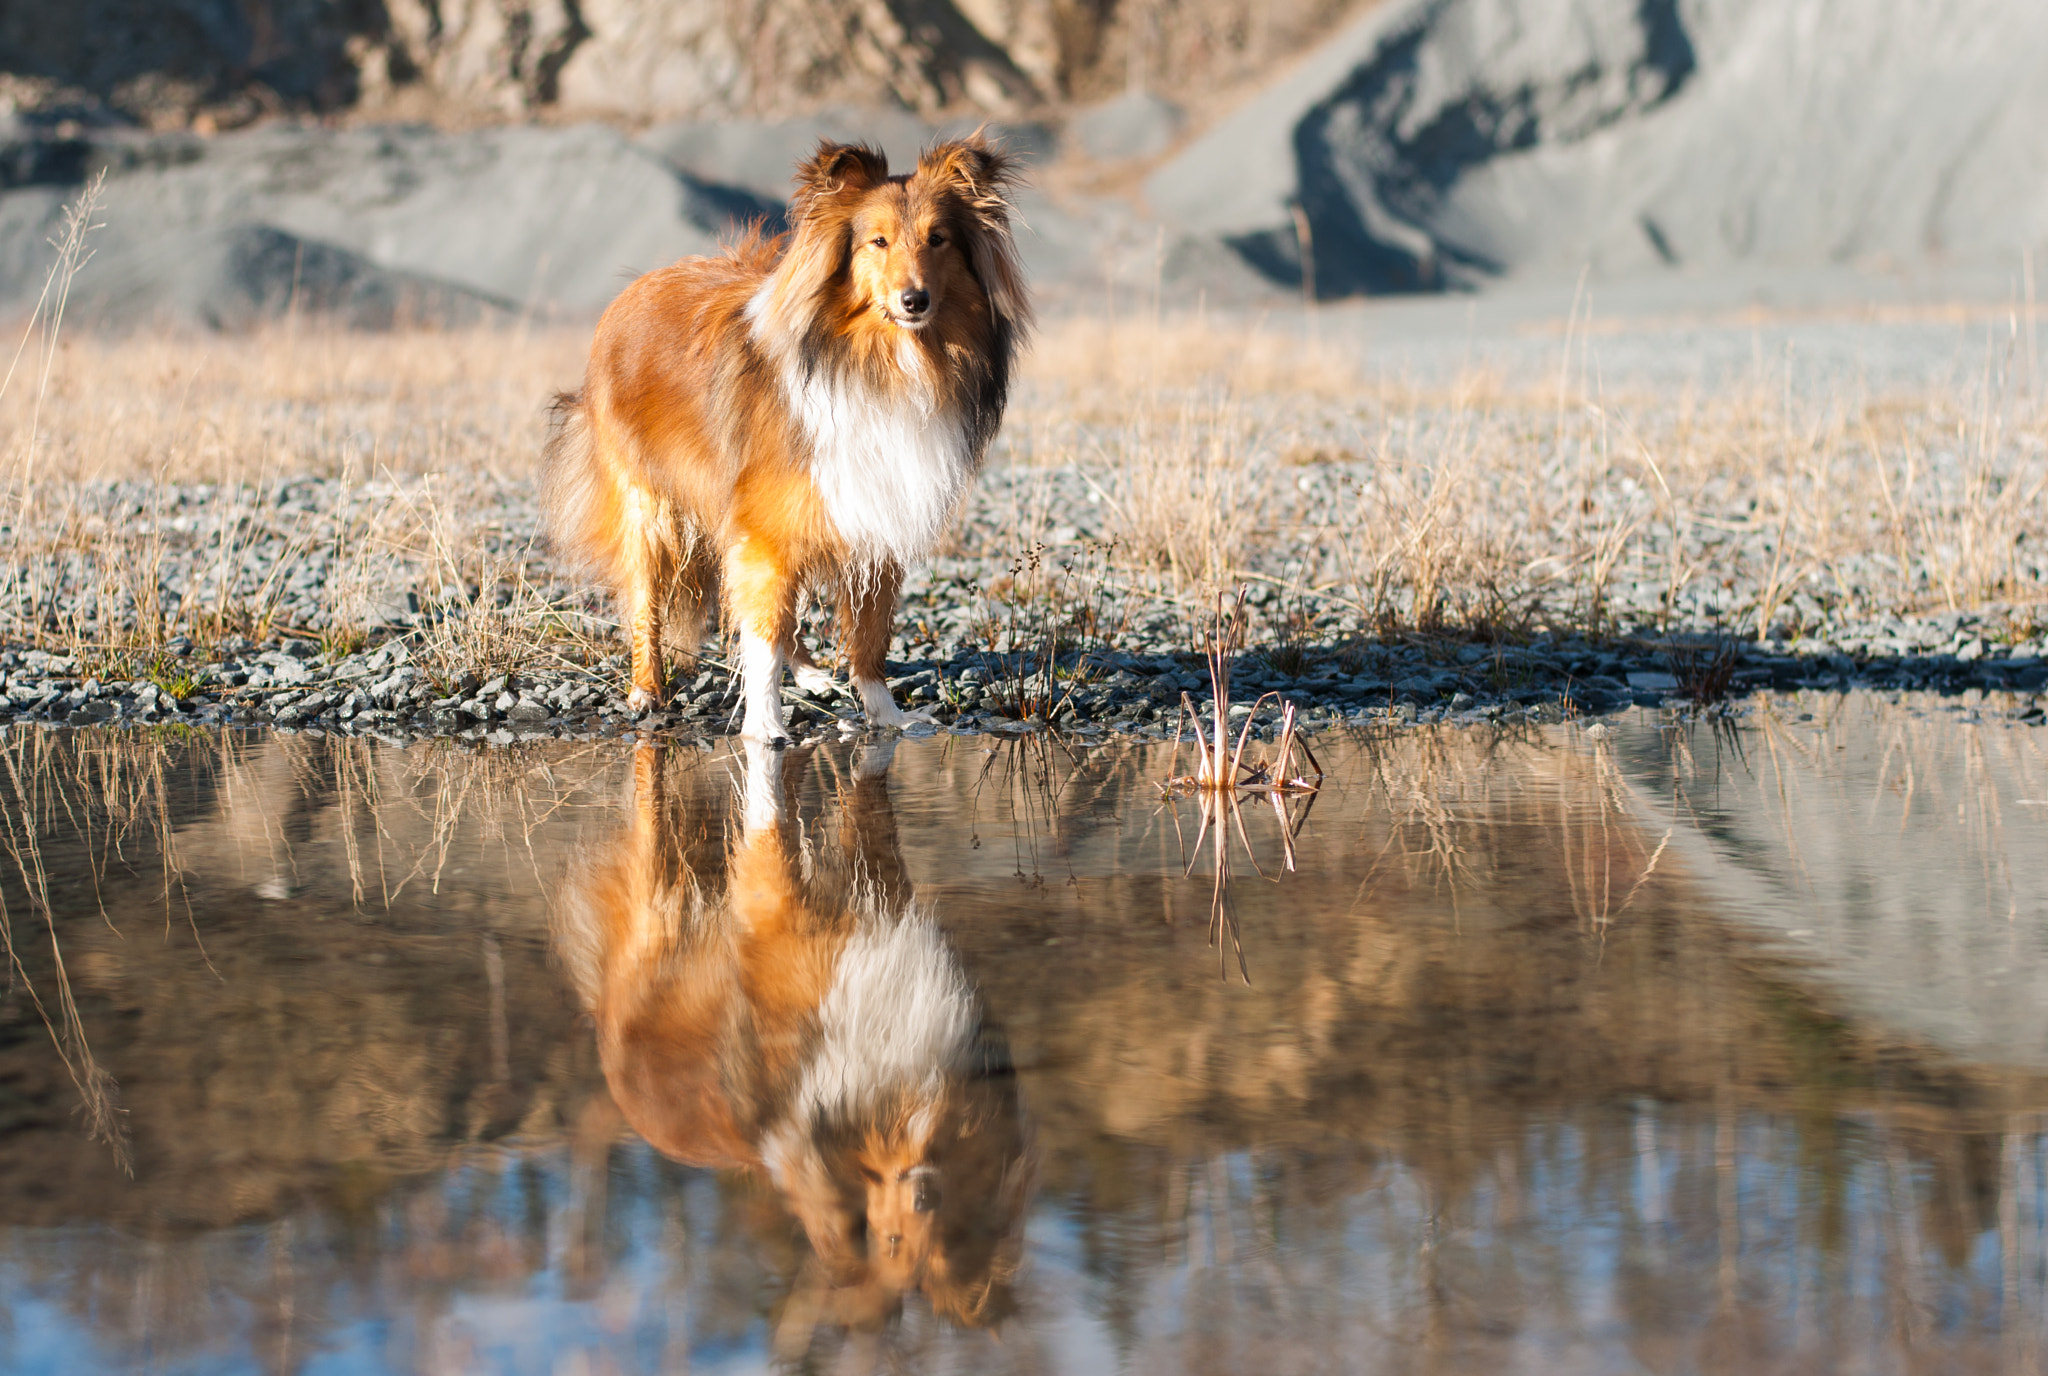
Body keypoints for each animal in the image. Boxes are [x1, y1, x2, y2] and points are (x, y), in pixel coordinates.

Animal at [544, 132, 1032, 741]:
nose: (914, 300)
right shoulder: (765, 529)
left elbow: (868, 634)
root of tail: (632, 288)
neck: (883, 364)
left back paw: (812, 675)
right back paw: (646, 690)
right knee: (646, 603)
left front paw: (886, 714)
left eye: (937, 239)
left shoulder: (877, 510)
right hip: (649, 507)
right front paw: (764, 724)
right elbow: (763, 634)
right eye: (877, 241)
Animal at [552, 741, 1032, 1335]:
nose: (922, 1195)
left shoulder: (882, 896)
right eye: (891, 1241)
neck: (903, 1097)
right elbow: (775, 840)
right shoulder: (784, 913)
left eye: (951, 1240)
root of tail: (601, 1012)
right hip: (658, 883)